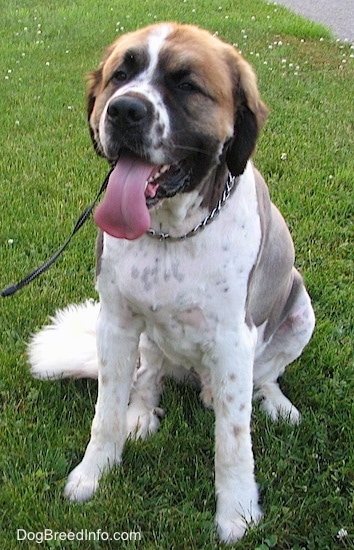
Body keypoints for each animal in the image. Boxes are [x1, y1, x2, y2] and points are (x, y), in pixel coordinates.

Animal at [28, 23, 316, 544]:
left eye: (186, 84)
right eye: (121, 74)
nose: (125, 109)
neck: (172, 232)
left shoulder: (234, 340)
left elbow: (233, 440)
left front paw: (236, 513)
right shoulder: (116, 322)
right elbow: (105, 413)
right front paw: (93, 473)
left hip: (300, 306)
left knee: (264, 375)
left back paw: (274, 403)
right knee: (145, 378)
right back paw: (141, 413)